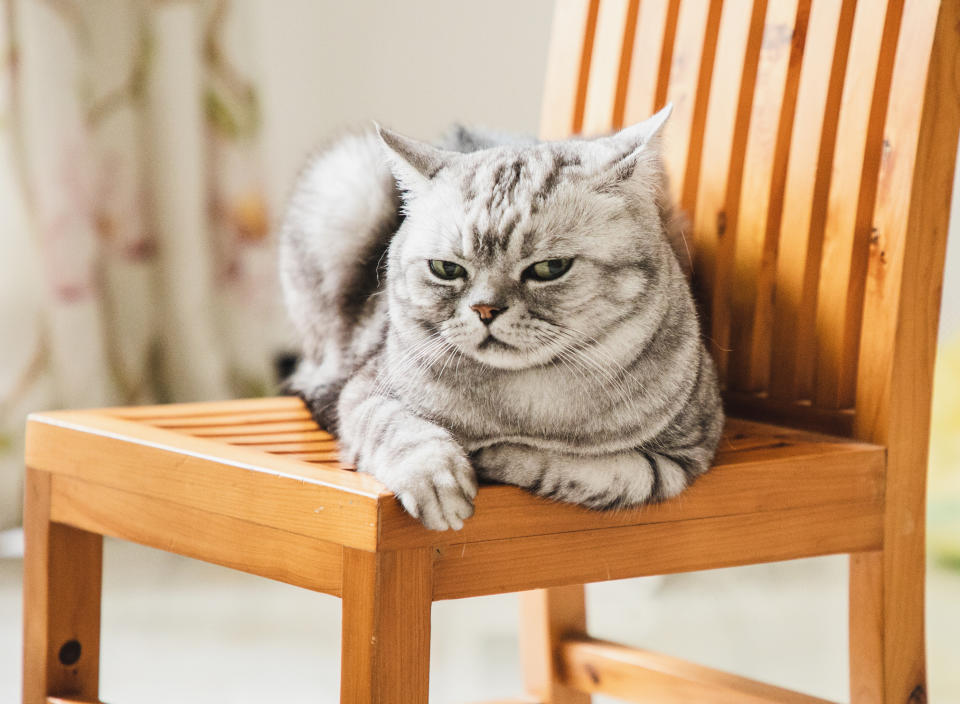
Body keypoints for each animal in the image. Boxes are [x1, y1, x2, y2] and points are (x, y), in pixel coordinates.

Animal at [276, 106, 720, 528]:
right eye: (446, 269)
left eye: (550, 268)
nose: (485, 309)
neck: (521, 403)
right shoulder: (364, 391)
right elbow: (398, 427)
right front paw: (437, 479)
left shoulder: (684, 456)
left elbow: (596, 471)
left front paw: (495, 455)